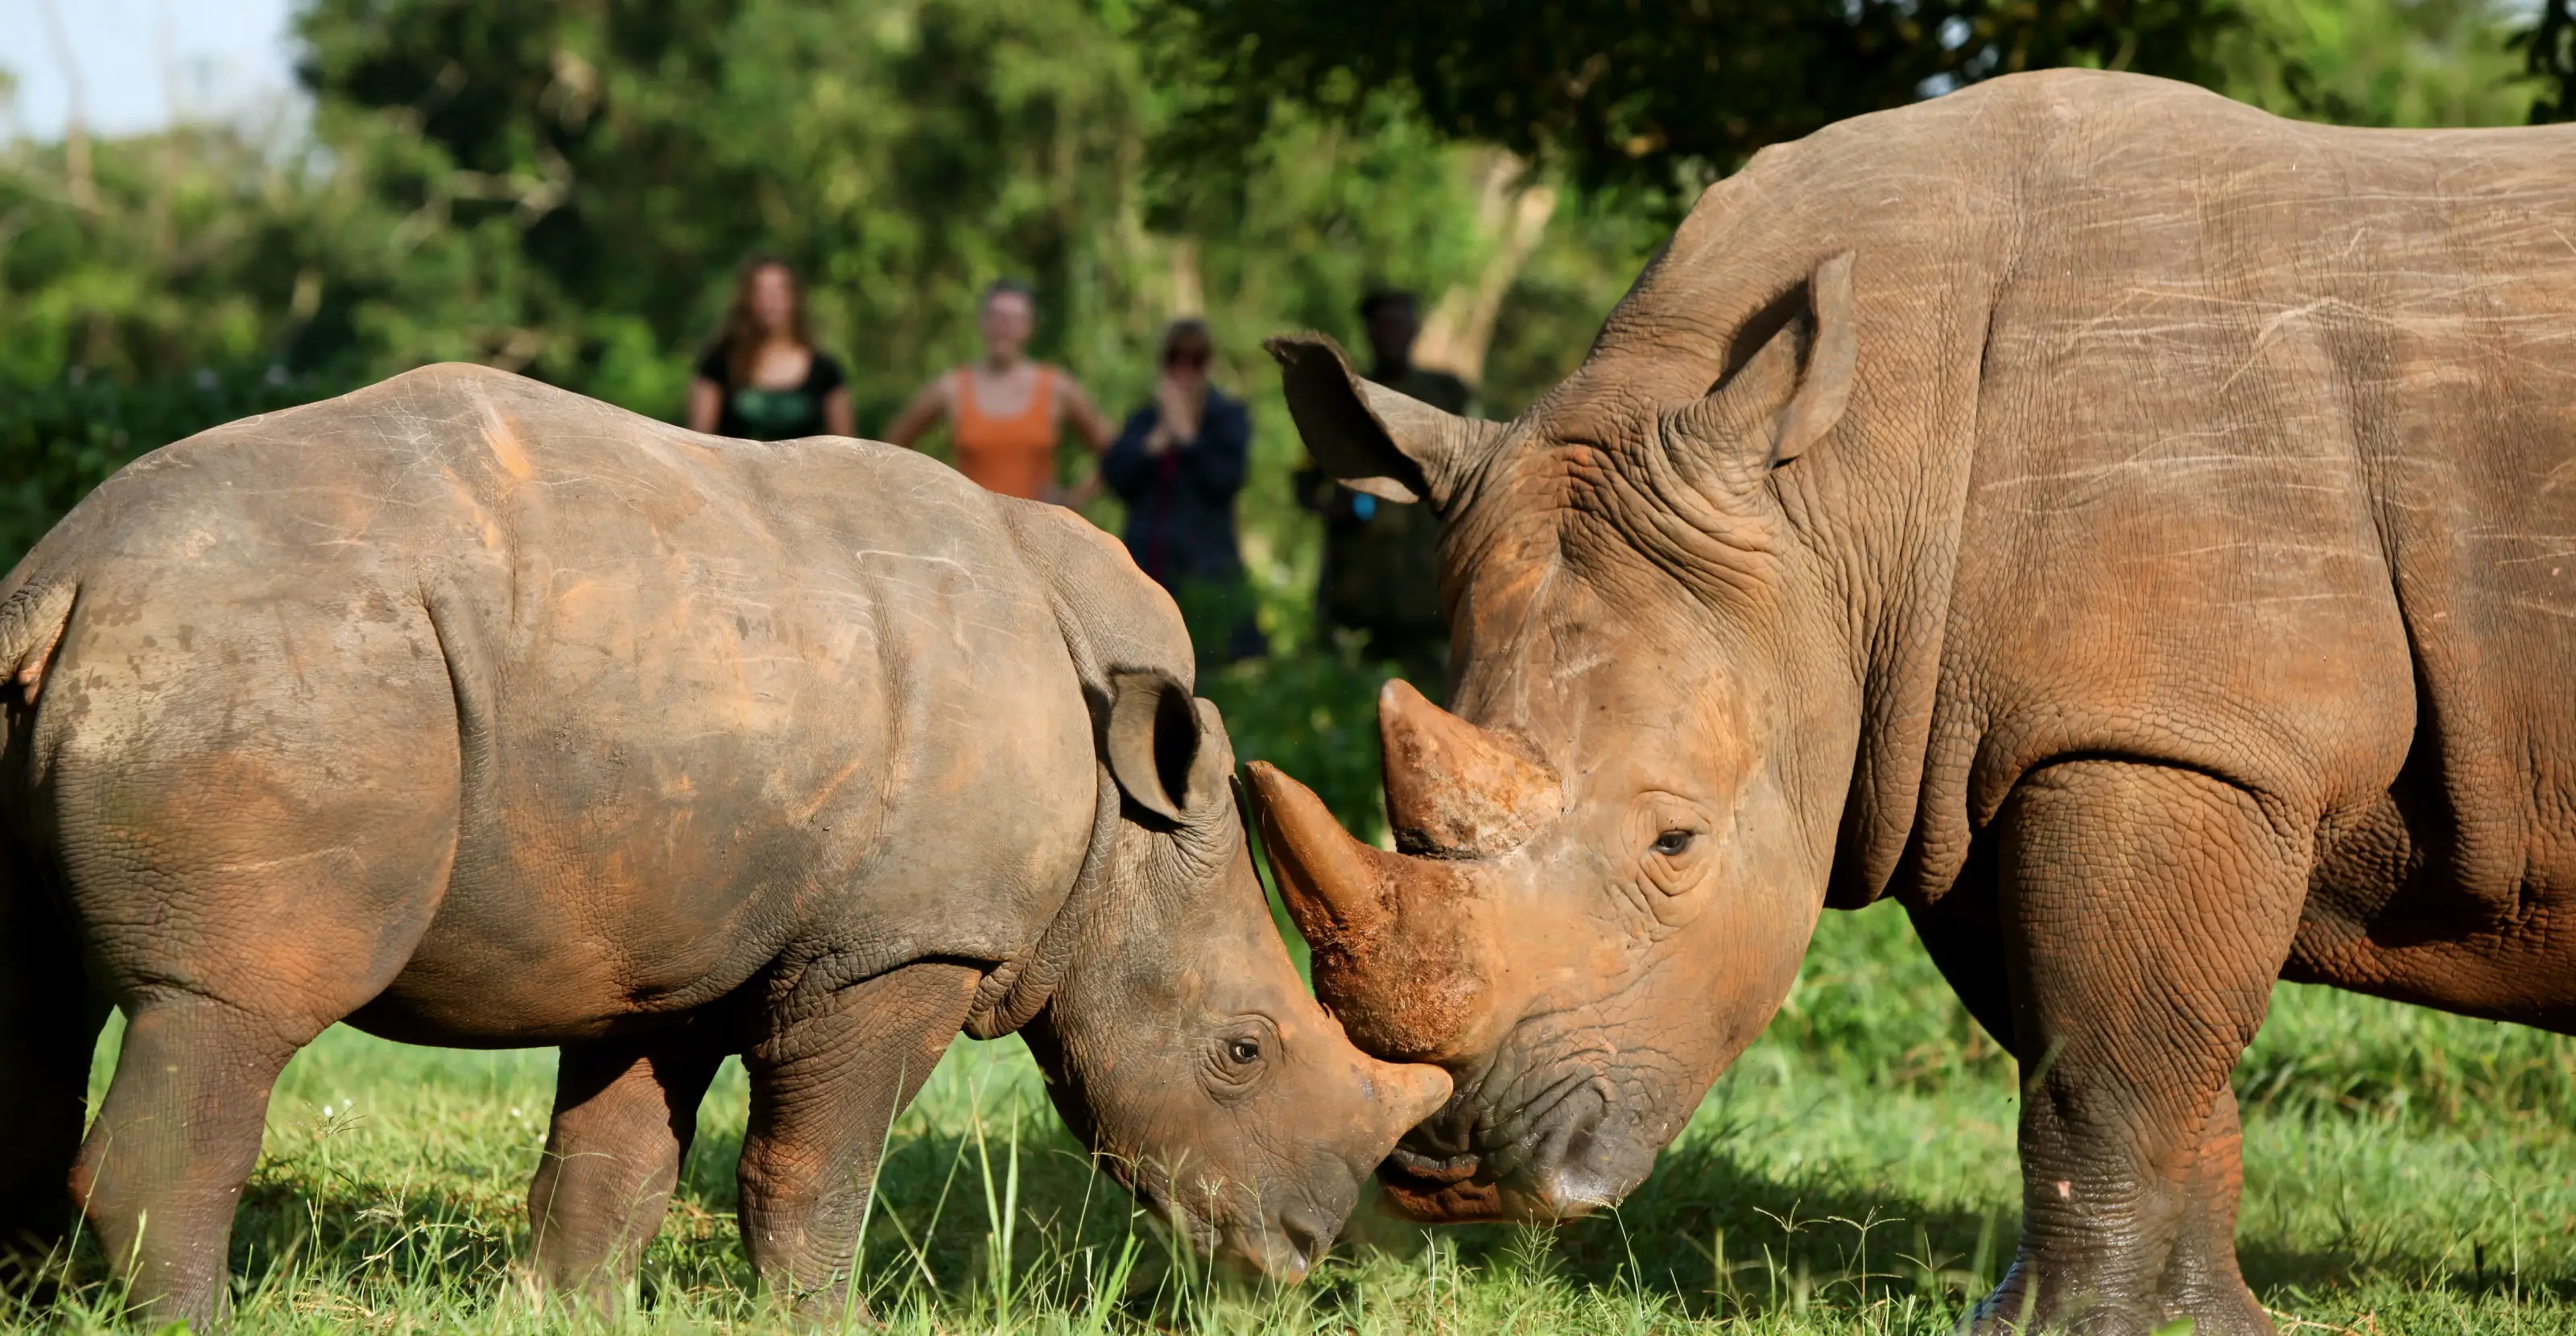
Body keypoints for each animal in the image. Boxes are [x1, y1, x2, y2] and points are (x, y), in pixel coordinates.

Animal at [0, 364, 1449, 1326]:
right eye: (1242, 1051)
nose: (1304, 1251)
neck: (1128, 844)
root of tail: (67, 576)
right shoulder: (900, 948)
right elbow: (812, 1170)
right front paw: (830, 1324)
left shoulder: (679, 929)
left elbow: (616, 1162)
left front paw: (565, 1313)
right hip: (286, 669)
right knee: (222, 1014)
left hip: (183, 658)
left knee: (43, 1005)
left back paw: (35, 1295)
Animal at [1248, 69, 2576, 1335]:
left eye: (1676, 843)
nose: (1448, 1173)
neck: (1841, 491)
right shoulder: (1989, 752)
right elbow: (2125, 1066)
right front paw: (2201, 1324)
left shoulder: (2178, 736)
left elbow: (2107, 1075)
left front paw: (2068, 1330)